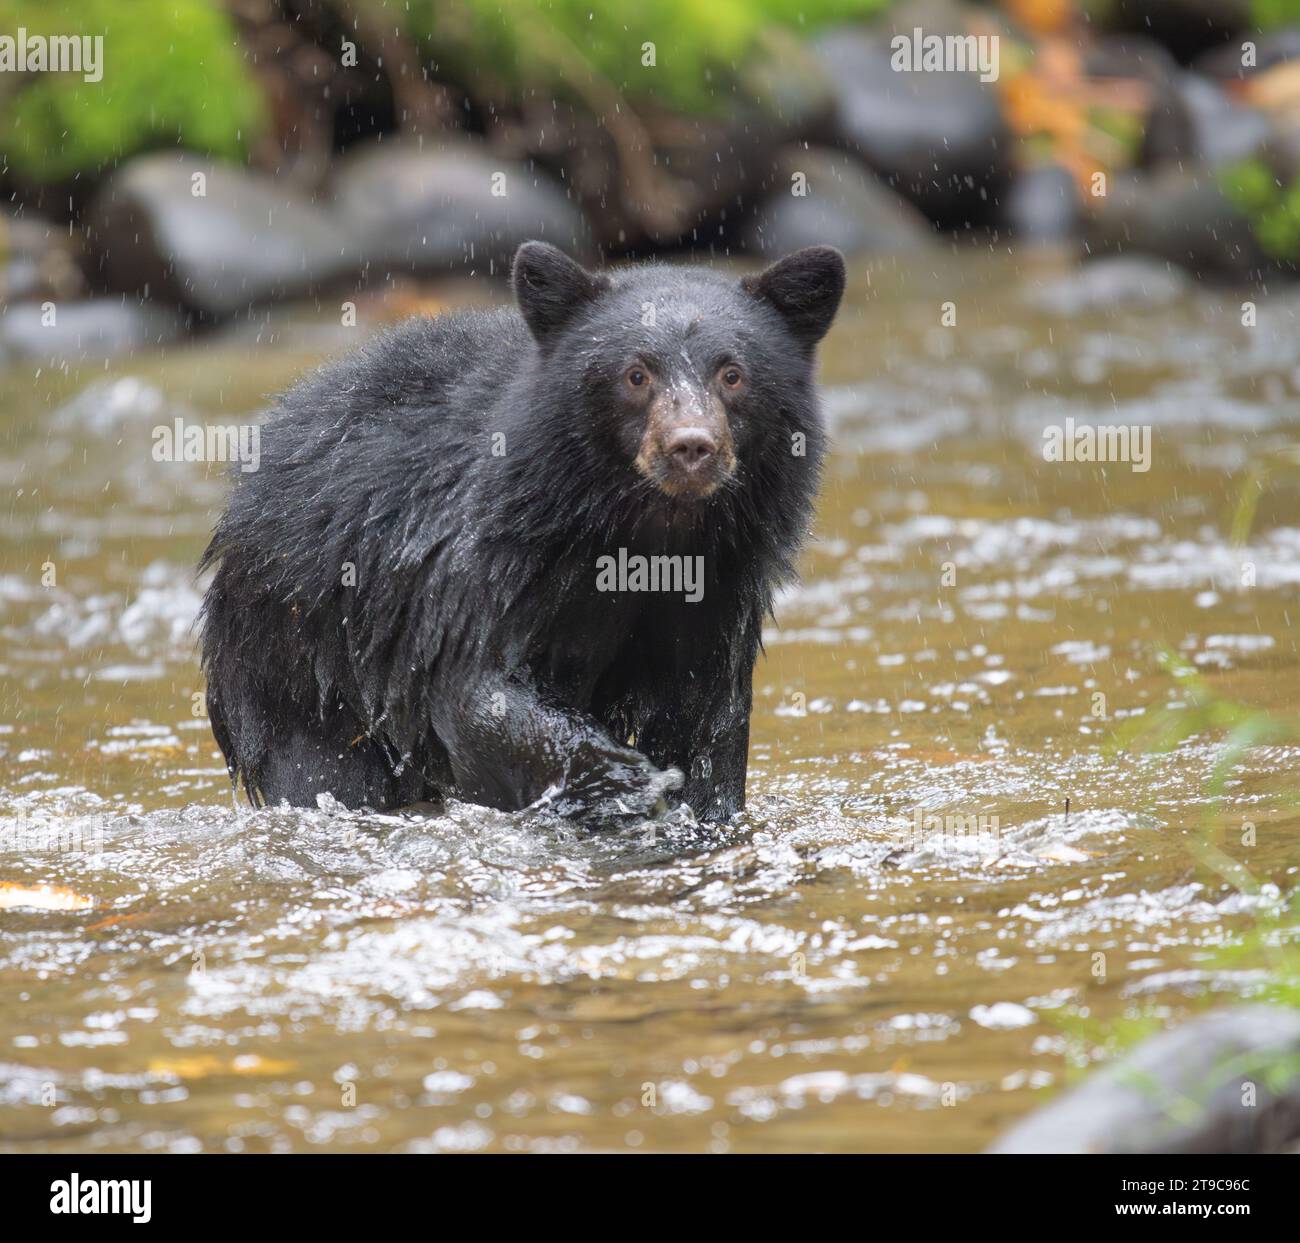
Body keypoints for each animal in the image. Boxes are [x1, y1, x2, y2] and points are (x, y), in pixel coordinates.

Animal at [192, 243, 842, 826]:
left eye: (733, 374)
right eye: (636, 374)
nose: (691, 447)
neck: (649, 531)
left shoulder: (720, 589)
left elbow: (708, 721)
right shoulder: (495, 550)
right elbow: (478, 685)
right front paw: (627, 782)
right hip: (301, 663)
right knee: (324, 771)